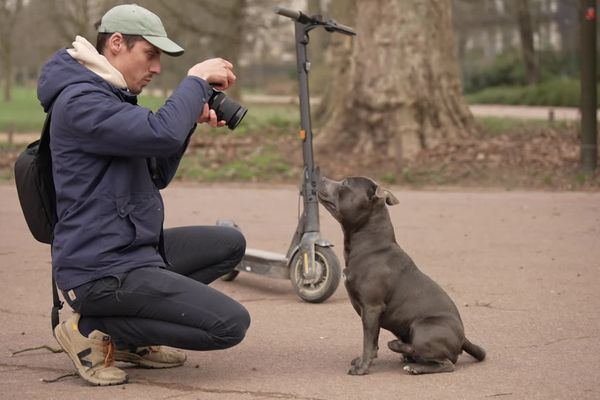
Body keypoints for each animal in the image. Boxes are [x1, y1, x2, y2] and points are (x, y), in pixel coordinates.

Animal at [316, 176, 486, 376]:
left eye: (345, 184)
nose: (320, 177)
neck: (370, 245)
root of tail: (463, 338)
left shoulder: (372, 308)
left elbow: (368, 342)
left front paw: (362, 367)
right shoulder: (371, 313)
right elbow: (373, 342)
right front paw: (363, 361)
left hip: (423, 328)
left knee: (446, 363)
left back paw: (412, 364)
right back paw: (401, 348)